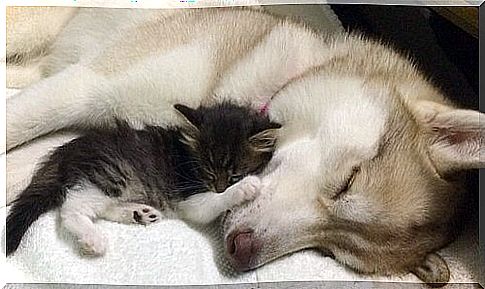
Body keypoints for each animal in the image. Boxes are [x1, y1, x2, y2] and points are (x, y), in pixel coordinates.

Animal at [5, 6, 482, 286]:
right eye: (348, 181)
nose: (240, 252)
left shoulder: (103, 140)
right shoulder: (86, 88)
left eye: (330, 252)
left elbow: (30, 170)